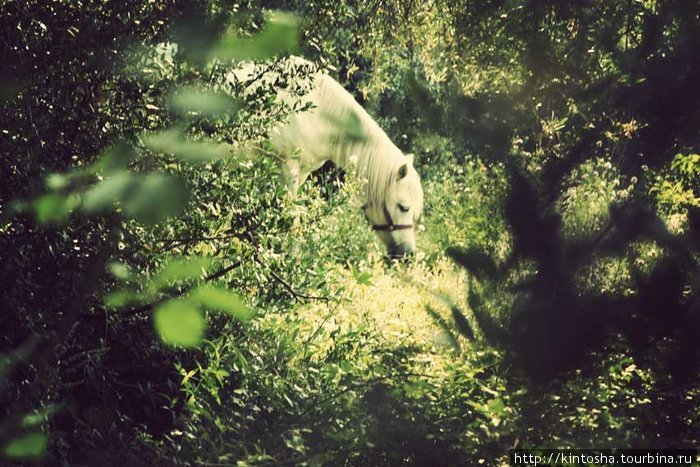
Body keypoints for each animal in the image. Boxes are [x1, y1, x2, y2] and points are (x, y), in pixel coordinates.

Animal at [231, 58, 426, 258]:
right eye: (404, 207)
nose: (408, 253)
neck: (317, 113)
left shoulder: (300, 173)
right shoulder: (287, 169)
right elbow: (291, 216)